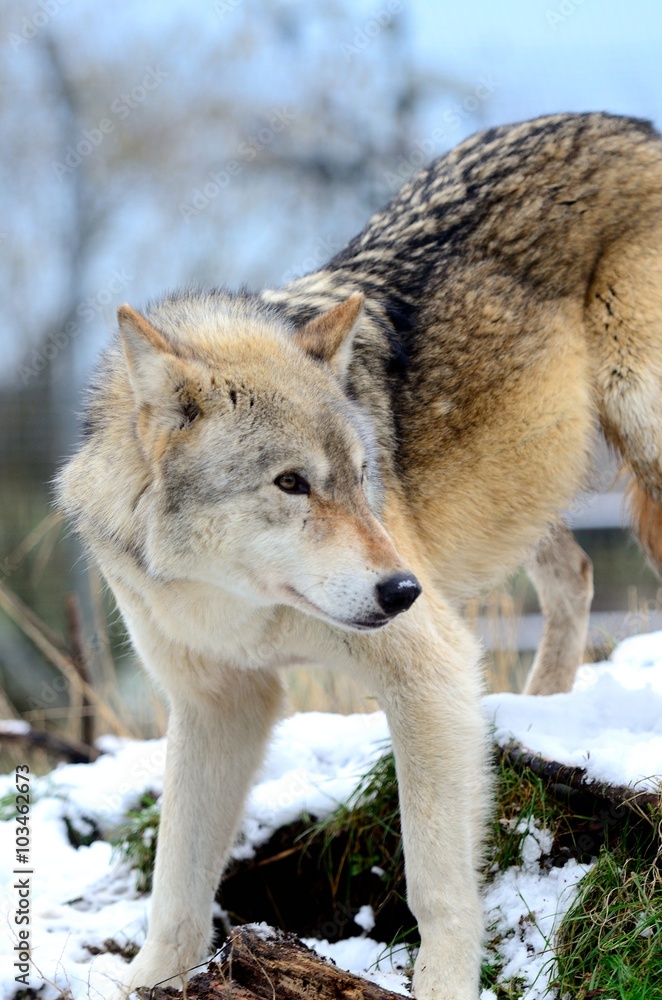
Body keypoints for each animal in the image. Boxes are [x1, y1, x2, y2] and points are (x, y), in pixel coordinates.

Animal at [57, 112, 662, 999]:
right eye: (292, 483)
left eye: (361, 474)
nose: (402, 590)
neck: (241, 603)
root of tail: (633, 124)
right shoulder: (216, 704)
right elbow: (175, 882)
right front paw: (151, 980)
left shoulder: (430, 669)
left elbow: (435, 881)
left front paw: (444, 987)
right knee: (577, 578)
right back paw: (544, 712)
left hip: (639, 435)